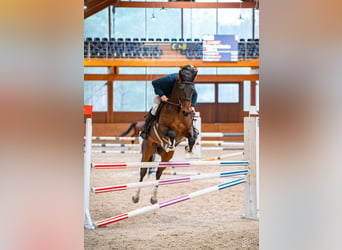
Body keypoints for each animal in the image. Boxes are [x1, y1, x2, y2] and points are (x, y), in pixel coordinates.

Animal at [134, 67, 198, 204]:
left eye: (192, 90)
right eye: (181, 88)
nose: (186, 111)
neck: (178, 111)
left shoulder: (187, 131)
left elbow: (192, 138)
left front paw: (189, 149)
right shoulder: (162, 129)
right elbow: (171, 133)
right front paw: (170, 143)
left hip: (166, 157)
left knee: (158, 173)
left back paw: (154, 198)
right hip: (148, 150)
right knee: (143, 171)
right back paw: (136, 196)